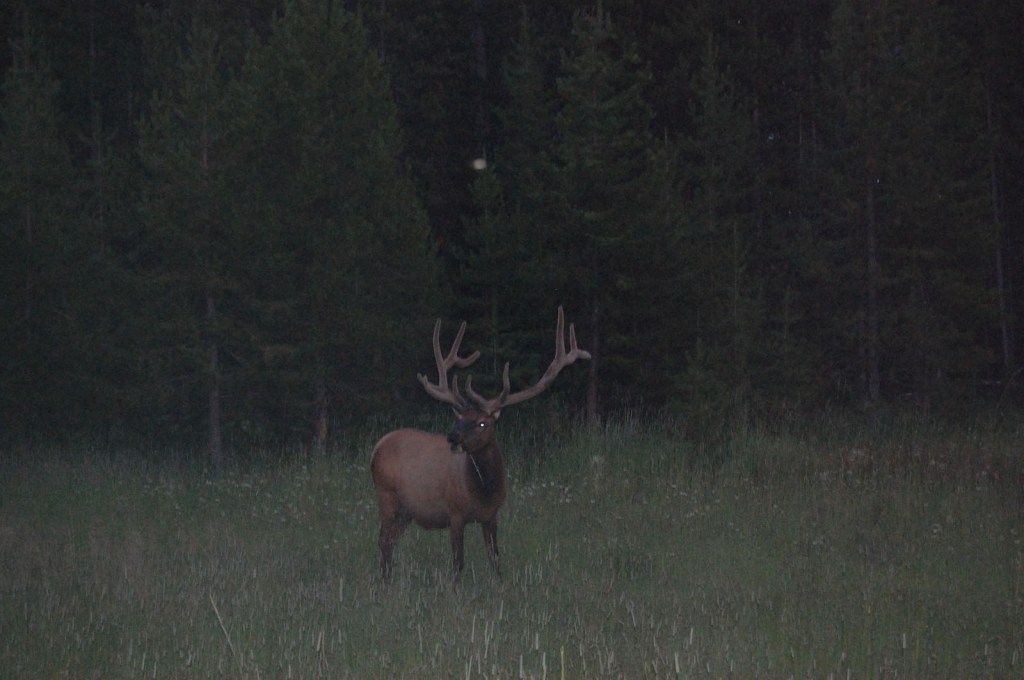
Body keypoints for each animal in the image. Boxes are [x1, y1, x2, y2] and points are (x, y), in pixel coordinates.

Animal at [370, 307, 590, 583]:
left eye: (482, 423)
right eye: (459, 418)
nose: (452, 437)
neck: (483, 492)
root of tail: (377, 446)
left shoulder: (492, 515)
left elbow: (495, 558)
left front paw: (500, 585)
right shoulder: (454, 513)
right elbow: (458, 562)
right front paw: (454, 588)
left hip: (406, 510)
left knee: (390, 540)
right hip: (387, 495)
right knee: (383, 540)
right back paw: (385, 581)